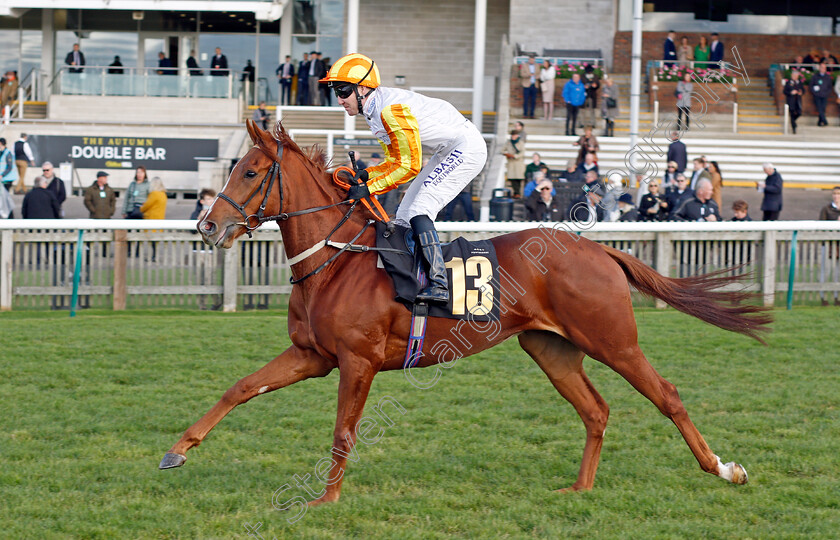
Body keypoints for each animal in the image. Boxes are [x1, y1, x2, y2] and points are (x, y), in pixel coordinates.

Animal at [161, 120, 772, 504]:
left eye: (248, 172)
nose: (207, 226)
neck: (337, 258)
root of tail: (598, 249)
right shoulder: (313, 355)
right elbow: (240, 388)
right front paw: (176, 452)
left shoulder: (357, 361)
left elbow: (343, 431)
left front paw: (324, 499)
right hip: (551, 348)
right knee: (596, 411)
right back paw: (580, 490)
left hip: (613, 340)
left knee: (666, 394)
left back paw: (725, 469)